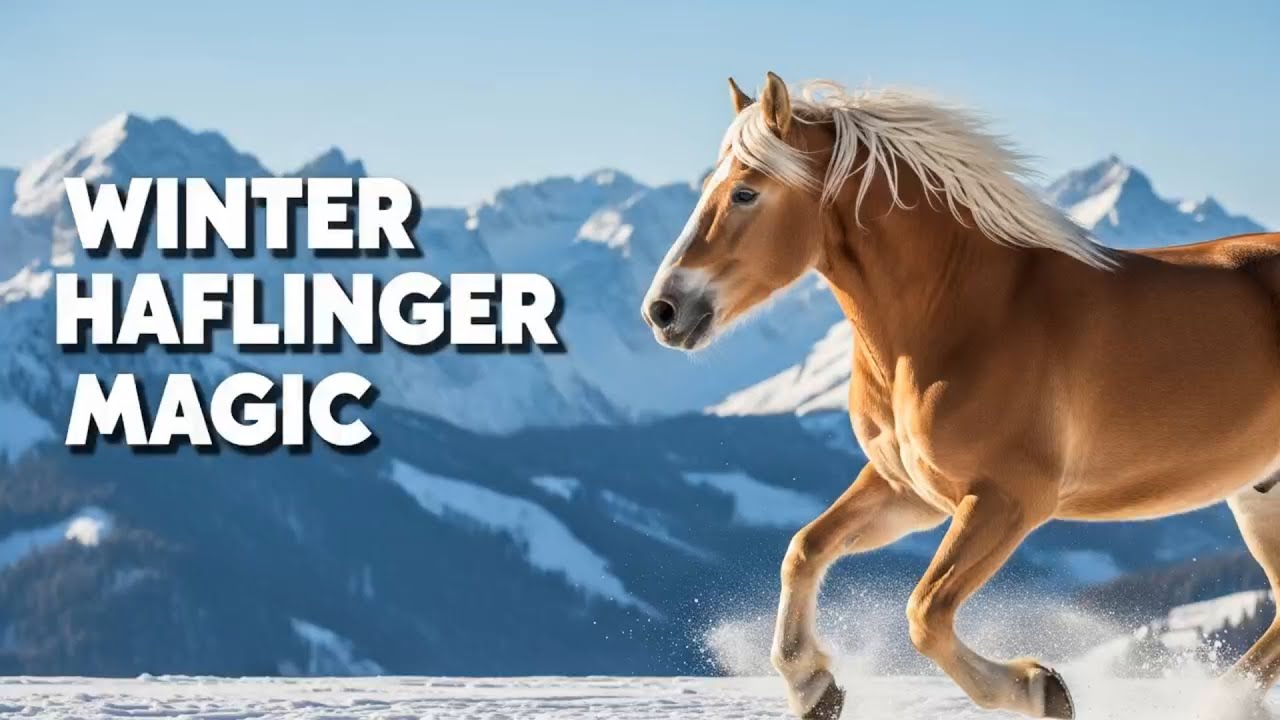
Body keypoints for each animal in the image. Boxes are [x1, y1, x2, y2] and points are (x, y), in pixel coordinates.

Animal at [641, 71, 1280, 719]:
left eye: (745, 193)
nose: (663, 311)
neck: (959, 314)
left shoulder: (1009, 500)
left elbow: (925, 613)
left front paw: (1041, 689)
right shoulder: (910, 490)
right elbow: (804, 549)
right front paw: (813, 687)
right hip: (1259, 496)